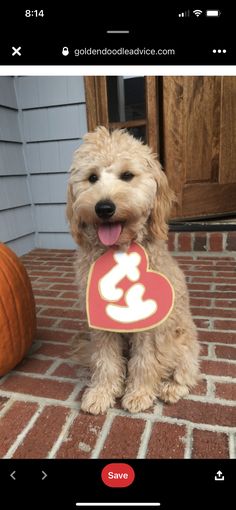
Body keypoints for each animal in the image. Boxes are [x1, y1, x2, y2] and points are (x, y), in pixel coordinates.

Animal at [66, 126, 199, 414]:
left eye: (127, 175)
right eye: (92, 178)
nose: (104, 207)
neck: (118, 253)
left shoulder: (150, 324)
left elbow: (145, 361)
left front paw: (139, 393)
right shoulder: (100, 324)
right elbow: (105, 360)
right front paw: (102, 393)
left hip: (182, 341)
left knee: (188, 371)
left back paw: (171, 388)